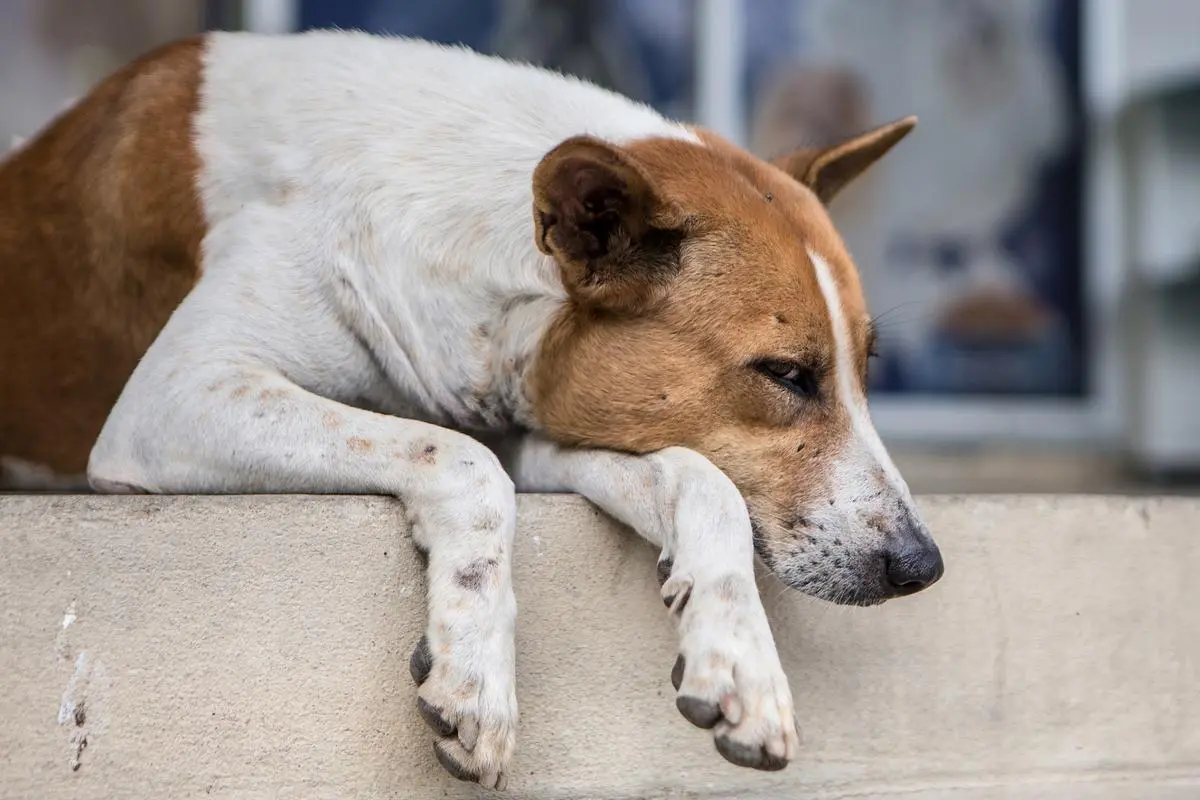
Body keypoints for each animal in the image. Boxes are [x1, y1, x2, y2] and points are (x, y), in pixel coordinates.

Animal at [0, 29, 940, 786]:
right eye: (785, 374)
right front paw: (478, 671)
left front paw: (739, 661)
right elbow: (461, 461)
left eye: (866, 367)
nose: (923, 567)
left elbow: (700, 482)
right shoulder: (180, 396)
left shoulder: (540, 422)